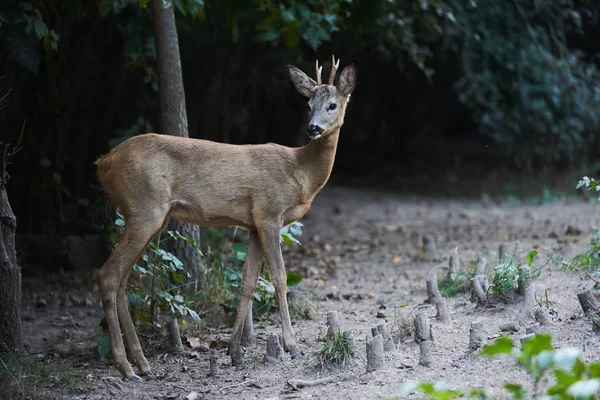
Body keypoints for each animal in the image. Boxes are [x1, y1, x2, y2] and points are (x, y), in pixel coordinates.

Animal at [94, 55, 356, 378]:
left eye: (332, 104)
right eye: (308, 105)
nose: (313, 128)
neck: (300, 173)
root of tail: (103, 163)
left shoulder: (254, 223)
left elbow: (247, 282)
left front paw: (234, 350)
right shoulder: (269, 213)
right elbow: (280, 277)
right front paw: (292, 346)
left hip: (149, 216)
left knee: (122, 281)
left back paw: (142, 363)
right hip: (145, 209)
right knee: (108, 276)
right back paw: (126, 366)